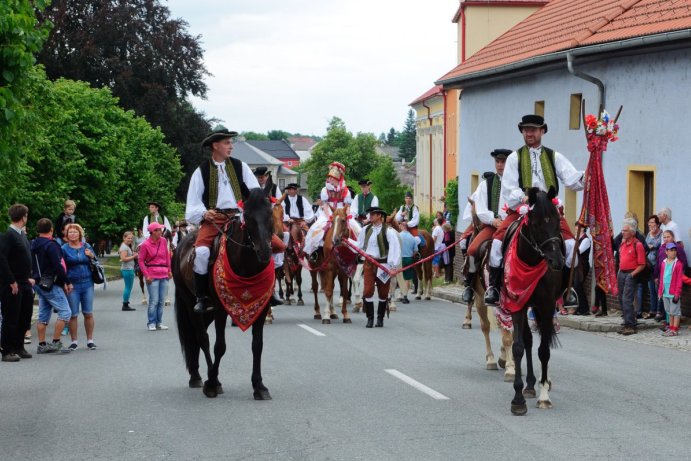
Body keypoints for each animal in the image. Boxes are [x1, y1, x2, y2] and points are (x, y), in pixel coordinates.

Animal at [173, 187, 276, 398]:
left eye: (270, 213)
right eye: (248, 216)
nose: (264, 252)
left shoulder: (261, 309)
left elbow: (257, 345)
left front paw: (259, 386)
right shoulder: (221, 308)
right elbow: (219, 346)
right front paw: (212, 383)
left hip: (209, 311)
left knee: (196, 337)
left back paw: (196, 374)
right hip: (190, 303)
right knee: (202, 337)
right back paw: (204, 378)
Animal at [506, 185, 564, 416]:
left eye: (557, 220)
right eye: (537, 224)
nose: (557, 261)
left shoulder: (547, 307)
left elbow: (544, 351)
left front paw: (544, 396)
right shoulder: (517, 305)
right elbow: (518, 347)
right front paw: (518, 399)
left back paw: (538, 384)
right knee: (528, 341)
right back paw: (530, 385)